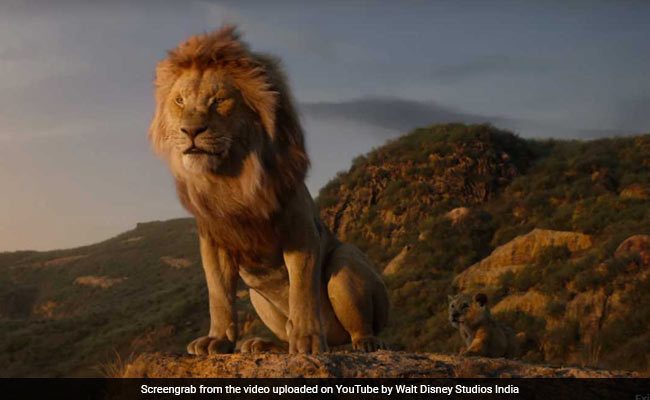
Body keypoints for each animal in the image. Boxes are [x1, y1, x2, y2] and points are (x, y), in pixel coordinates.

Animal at [148, 26, 389, 355]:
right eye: (180, 101)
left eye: (219, 100)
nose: (191, 131)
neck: (230, 177)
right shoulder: (214, 241)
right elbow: (219, 296)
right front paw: (217, 340)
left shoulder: (300, 230)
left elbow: (302, 290)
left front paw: (308, 340)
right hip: (257, 297)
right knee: (282, 330)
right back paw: (263, 345)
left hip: (347, 264)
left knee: (360, 325)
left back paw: (363, 342)